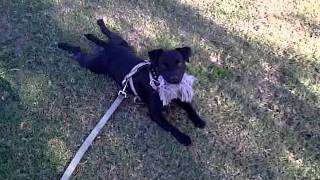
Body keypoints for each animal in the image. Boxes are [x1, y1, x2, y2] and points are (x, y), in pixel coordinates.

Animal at [58, 19, 206, 146]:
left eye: (179, 63)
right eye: (163, 65)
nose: (175, 79)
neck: (155, 80)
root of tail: (109, 49)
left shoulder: (178, 98)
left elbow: (190, 107)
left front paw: (199, 121)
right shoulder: (156, 114)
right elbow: (171, 127)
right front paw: (184, 137)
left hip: (121, 43)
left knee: (110, 35)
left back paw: (100, 25)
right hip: (92, 64)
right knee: (78, 50)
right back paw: (63, 45)